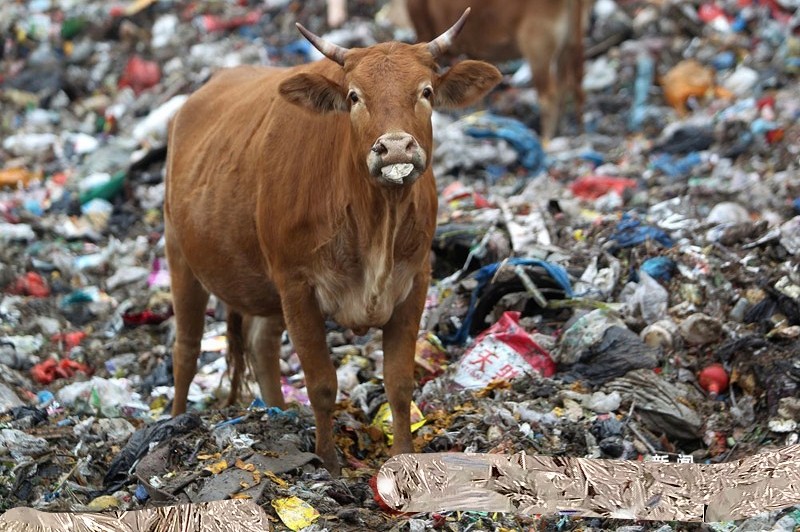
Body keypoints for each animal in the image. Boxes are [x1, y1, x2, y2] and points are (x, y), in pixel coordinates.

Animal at [164, 8, 502, 476]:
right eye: (355, 96)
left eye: (426, 91)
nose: (395, 147)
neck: (375, 221)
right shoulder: (297, 285)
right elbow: (322, 383)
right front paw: (328, 462)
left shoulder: (415, 280)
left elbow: (399, 383)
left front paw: (403, 456)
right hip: (180, 254)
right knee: (186, 350)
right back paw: (176, 423)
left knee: (260, 344)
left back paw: (279, 413)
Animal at [404, 0, 594, 142]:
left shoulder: (424, 33)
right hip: (570, 44)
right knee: (571, 86)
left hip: (537, 46)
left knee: (549, 95)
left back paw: (546, 140)